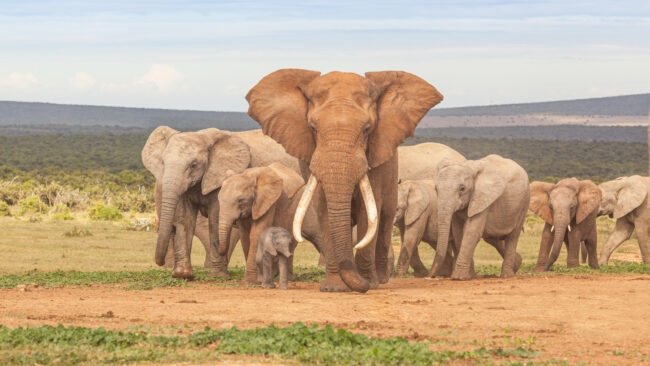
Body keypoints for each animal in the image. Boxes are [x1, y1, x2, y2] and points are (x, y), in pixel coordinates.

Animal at [140, 126, 298, 278]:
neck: (202, 136)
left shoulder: (220, 178)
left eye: (194, 164)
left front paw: (218, 275)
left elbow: (215, 217)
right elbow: (185, 219)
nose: (159, 262)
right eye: (163, 163)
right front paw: (182, 274)